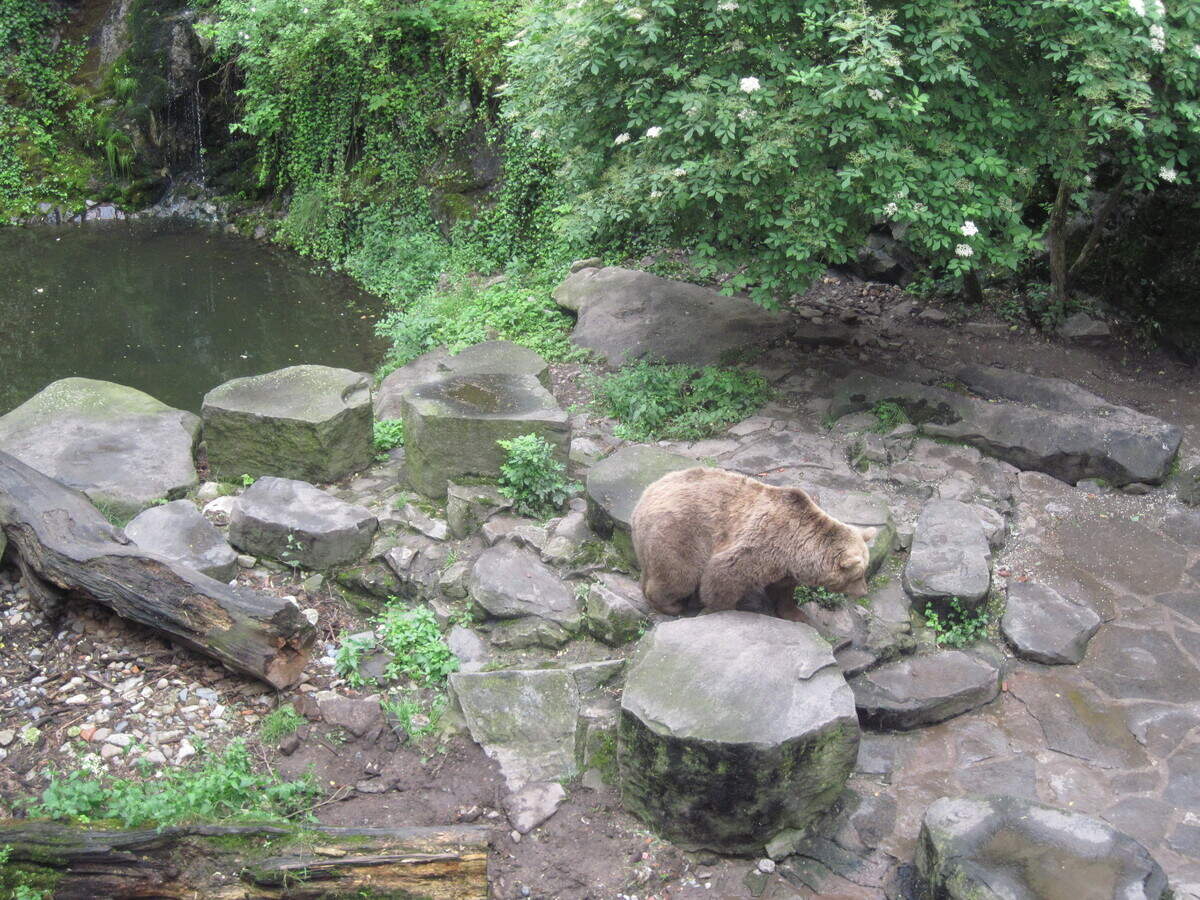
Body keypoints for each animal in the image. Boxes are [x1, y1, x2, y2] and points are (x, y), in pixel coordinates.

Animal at [631, 466, 876, 618]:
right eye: (858, 575)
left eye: (864, 571)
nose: (864, 591)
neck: (798, 550)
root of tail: (643, 498)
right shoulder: (762, 545)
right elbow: (722, 576)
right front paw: (717, 609)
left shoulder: (785, 567)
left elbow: (782, 591)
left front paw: (796, 614)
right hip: (679, 533)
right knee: (679, 576)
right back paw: (672, 605)